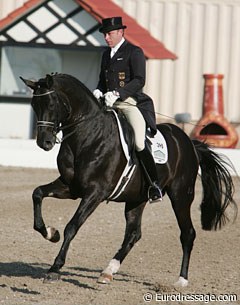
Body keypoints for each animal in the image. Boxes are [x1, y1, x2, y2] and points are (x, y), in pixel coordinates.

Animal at [20, 73, 236, 284]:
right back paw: (108, 271)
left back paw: (181, 280)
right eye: (34, 105)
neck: (88, 136)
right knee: (133, 233)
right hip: (137, 198)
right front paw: (50, 233)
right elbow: (37, 193)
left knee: (187, 233)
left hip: (181, 196)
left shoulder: (95, 193)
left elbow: (72, 226)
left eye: (51, 104)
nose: (45, 142)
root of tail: (189, 143)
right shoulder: (70, 187)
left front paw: (55, 268)